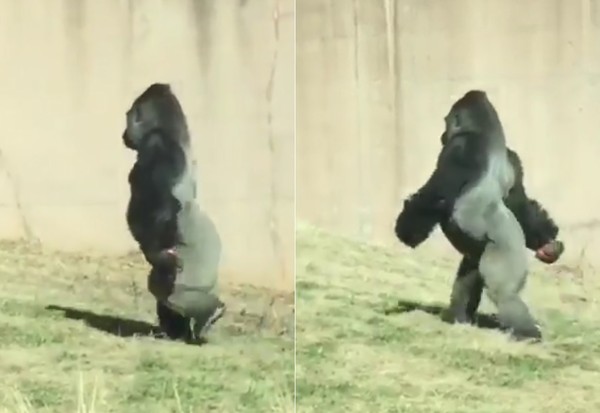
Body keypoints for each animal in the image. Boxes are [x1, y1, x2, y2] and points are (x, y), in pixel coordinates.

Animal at [122, 81, 225, 342]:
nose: (123, 135)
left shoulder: (158, 144)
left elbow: (165, 206)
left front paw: (154, 254)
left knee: (170, 290)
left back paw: (210, 313)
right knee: (165, 289)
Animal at [394, 90, 564, 342]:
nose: (442, 135)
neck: (490, 133)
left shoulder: (461, 147)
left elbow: (436, 196)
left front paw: (406, 231)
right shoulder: (514, 159)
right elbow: (519, 203)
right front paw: (547, 242)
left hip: (505, 252)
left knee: (504, 293)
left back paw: (527, 333)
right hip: (479, 252)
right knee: (470, 276)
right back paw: (459, 318)